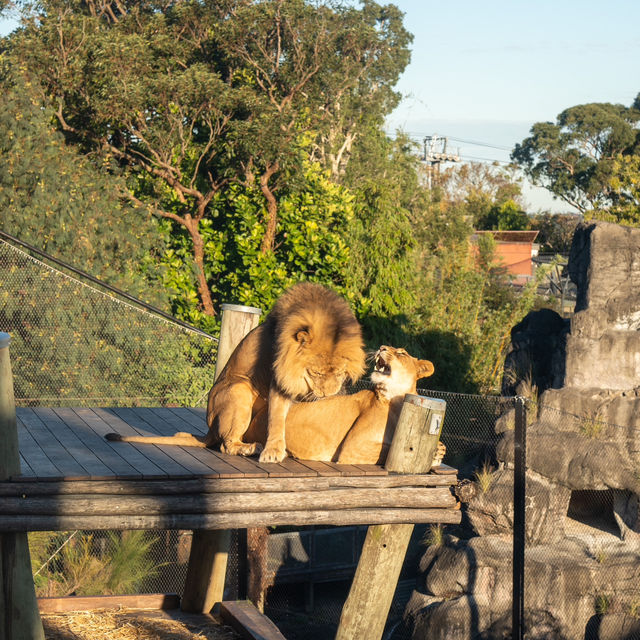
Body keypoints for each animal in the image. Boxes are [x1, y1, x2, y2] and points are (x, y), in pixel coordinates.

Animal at [105, 282, 364, 462]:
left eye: (339, 372)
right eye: (316, 373)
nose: (327, 395)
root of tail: (209, 429)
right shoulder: (278, 378)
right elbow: (277, 419)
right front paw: (273, 451)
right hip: (239, 388)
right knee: (226, 445)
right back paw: (251, 447)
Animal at [244, 344, 444, 464]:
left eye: (402, 353)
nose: (381, 347)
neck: (396, 400)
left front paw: (440, 450)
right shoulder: (353, 447)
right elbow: (390, 448)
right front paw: (435, 454)